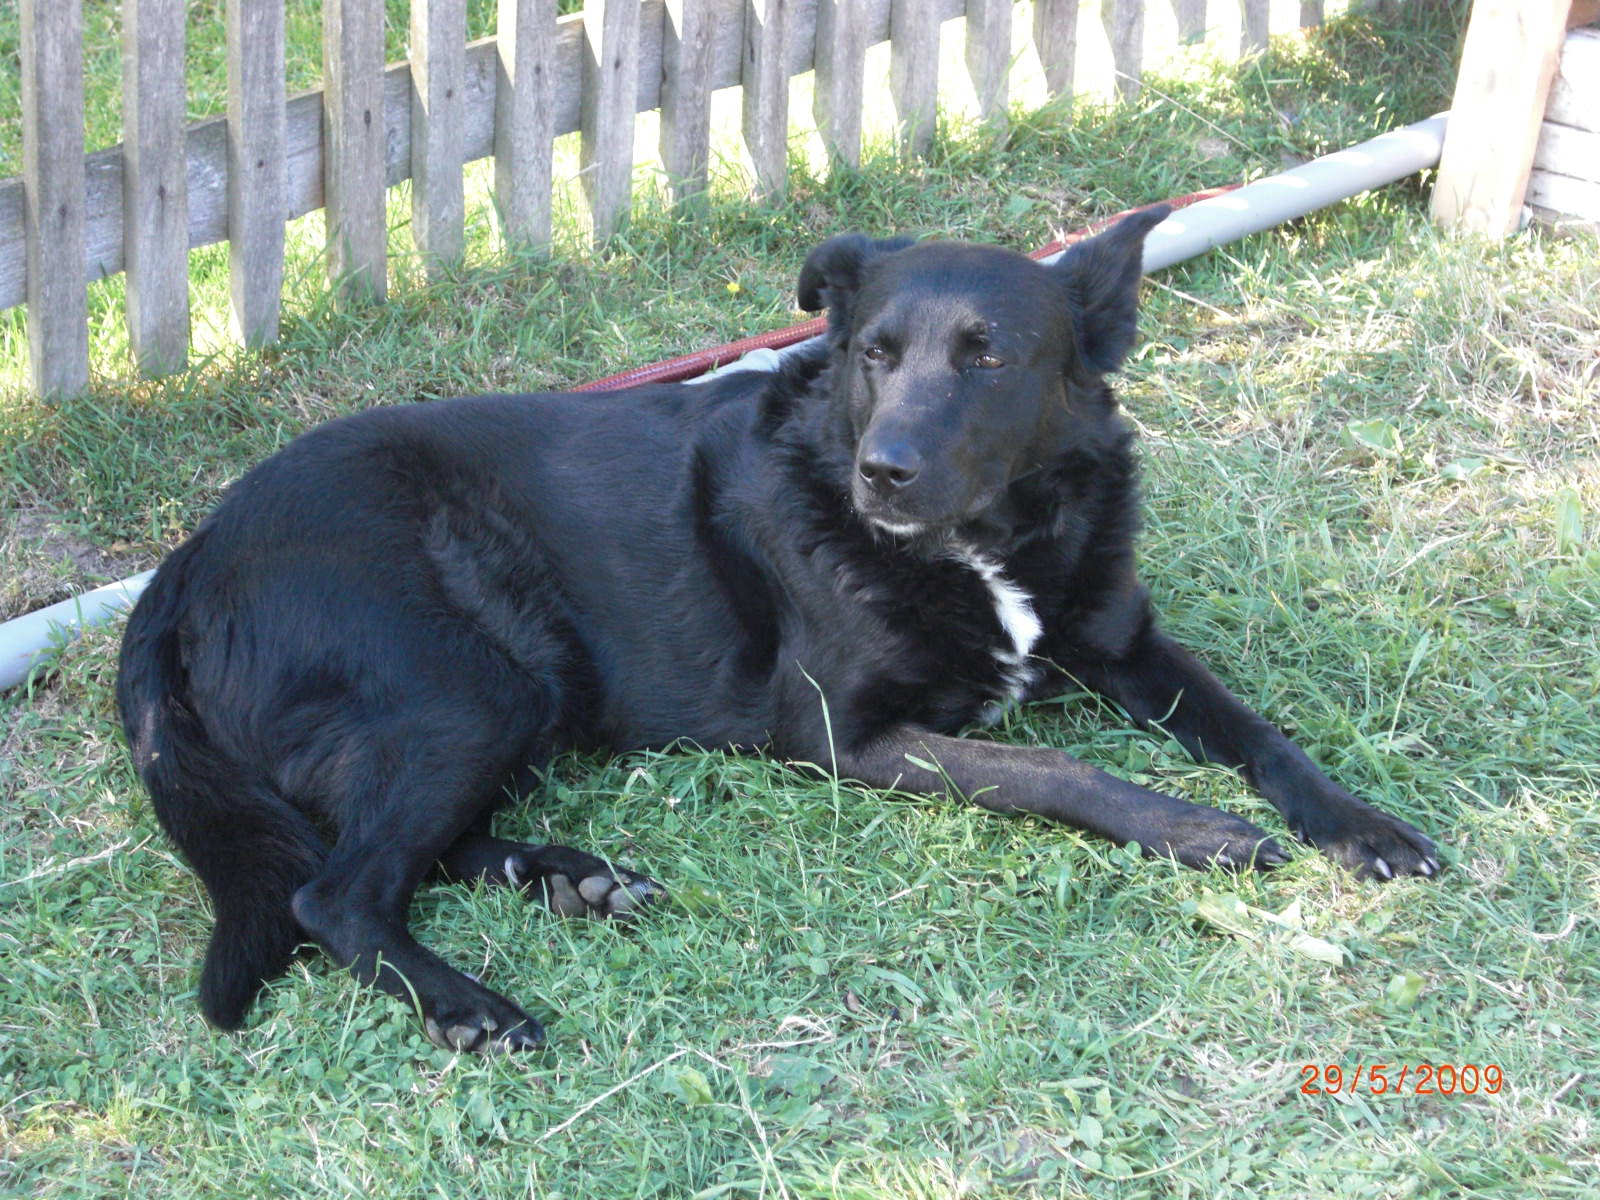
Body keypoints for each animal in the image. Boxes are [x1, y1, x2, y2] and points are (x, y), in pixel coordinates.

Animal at [118, 209, 1438, 1052]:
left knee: (403, 856)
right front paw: (1196, 831)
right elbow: (1053, 767)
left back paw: (569, 877)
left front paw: (1362, 828)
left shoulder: (1123, 643)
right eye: (873, 355)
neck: (978, 543)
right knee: (333, 893)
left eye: (987, 357)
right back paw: (469, 1003)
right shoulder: (842, 737)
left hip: (514, 701)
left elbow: (1261, 733)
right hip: (471, 689)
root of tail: (191, 556)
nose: (880, 473)